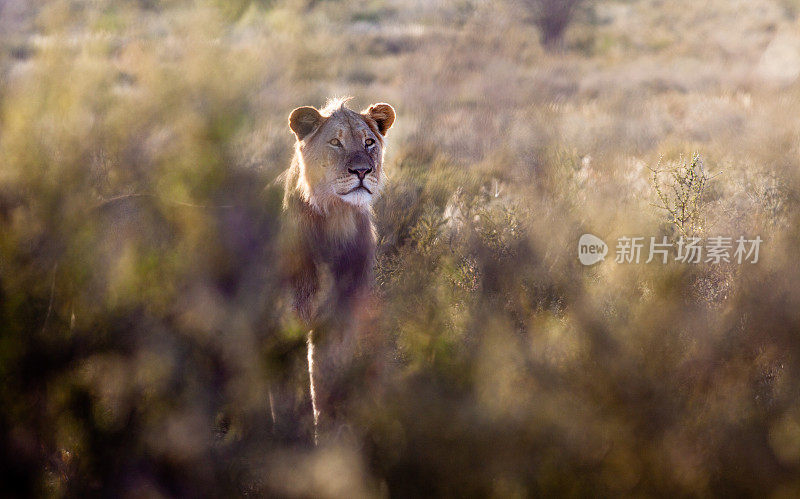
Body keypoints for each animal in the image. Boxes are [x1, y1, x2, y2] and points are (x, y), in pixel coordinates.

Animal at [278, 98, 396, 446]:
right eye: (335, 142)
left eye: (369, 142)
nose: (362, 171)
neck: (336, 221)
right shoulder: (286, 319)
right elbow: (290, 394)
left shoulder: (338, 319)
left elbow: (326, 387)